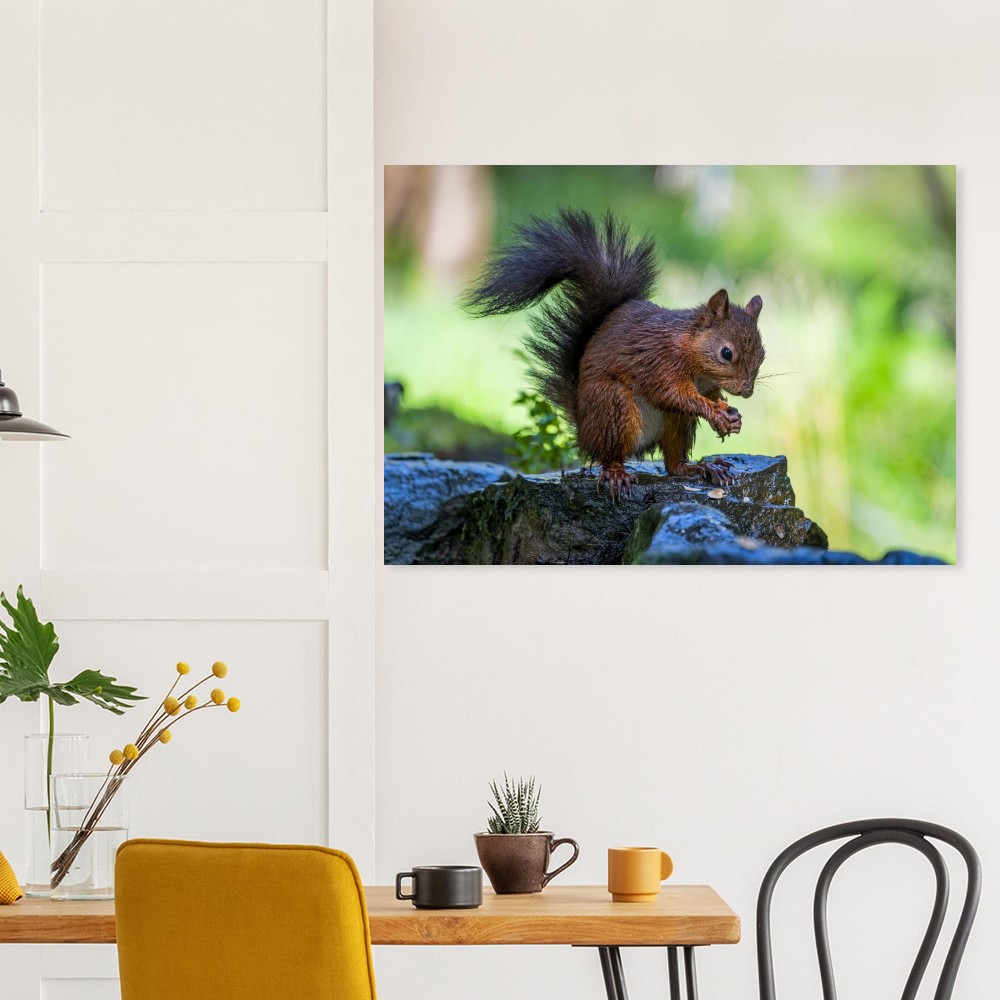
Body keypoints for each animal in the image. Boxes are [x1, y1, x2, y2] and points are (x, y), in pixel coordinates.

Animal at [462, 209, 766, 498]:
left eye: (762, 355)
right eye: (726, 353)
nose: (747, 391)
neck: (692, 354)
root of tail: (583, 429)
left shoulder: (704, 383)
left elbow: (709, 396)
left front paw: (730, 414)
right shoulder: (659, 361)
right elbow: (671, 393)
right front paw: (715, 412)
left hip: (676, 423)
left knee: (673, 463)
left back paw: (701, 467)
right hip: (613, 406)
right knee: (610, 455)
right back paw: (617, 473)